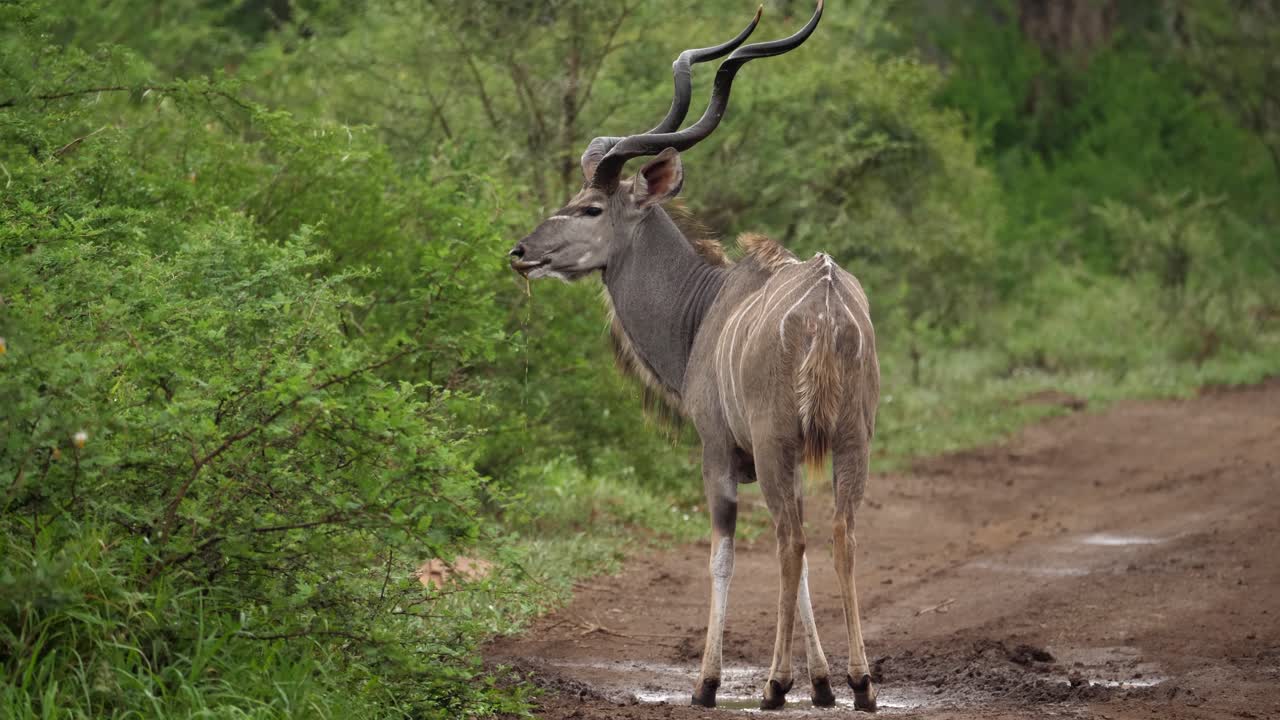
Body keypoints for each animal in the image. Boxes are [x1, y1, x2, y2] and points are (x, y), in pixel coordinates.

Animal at [509, 1, 880, 711]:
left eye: (589, 207)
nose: (520, 252)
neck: (704, 308)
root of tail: (825, 306)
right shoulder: (789, 459)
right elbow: (807, 559)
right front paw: (823, 685)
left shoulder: (718, 450)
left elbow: (724, 553)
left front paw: (708, 683)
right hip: (851, 439)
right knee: (841, 535)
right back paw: (861, 683)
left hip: (777, 440)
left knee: (791, 539)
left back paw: (773, 685)